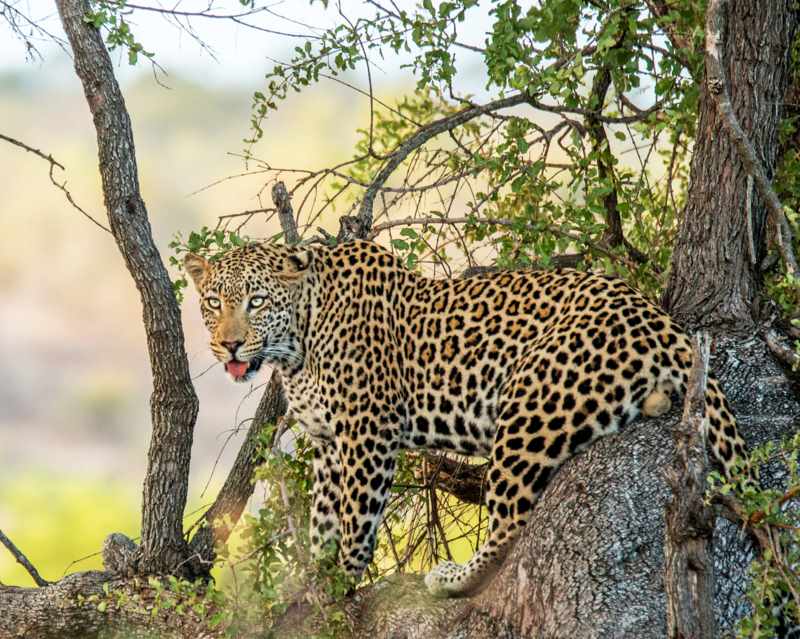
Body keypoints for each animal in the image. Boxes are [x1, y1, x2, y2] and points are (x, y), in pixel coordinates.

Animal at [184, 238, 748, 596]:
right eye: (213, 302)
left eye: (257, 302)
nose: (228, 344)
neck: (297, 344)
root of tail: (659, 318)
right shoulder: (327, 440)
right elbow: (324, 515)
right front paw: (314, 581)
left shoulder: (368, 430)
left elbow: (356, 515)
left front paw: (344, 578)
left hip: (527, 407)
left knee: (510, 521)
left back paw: (452, 578)